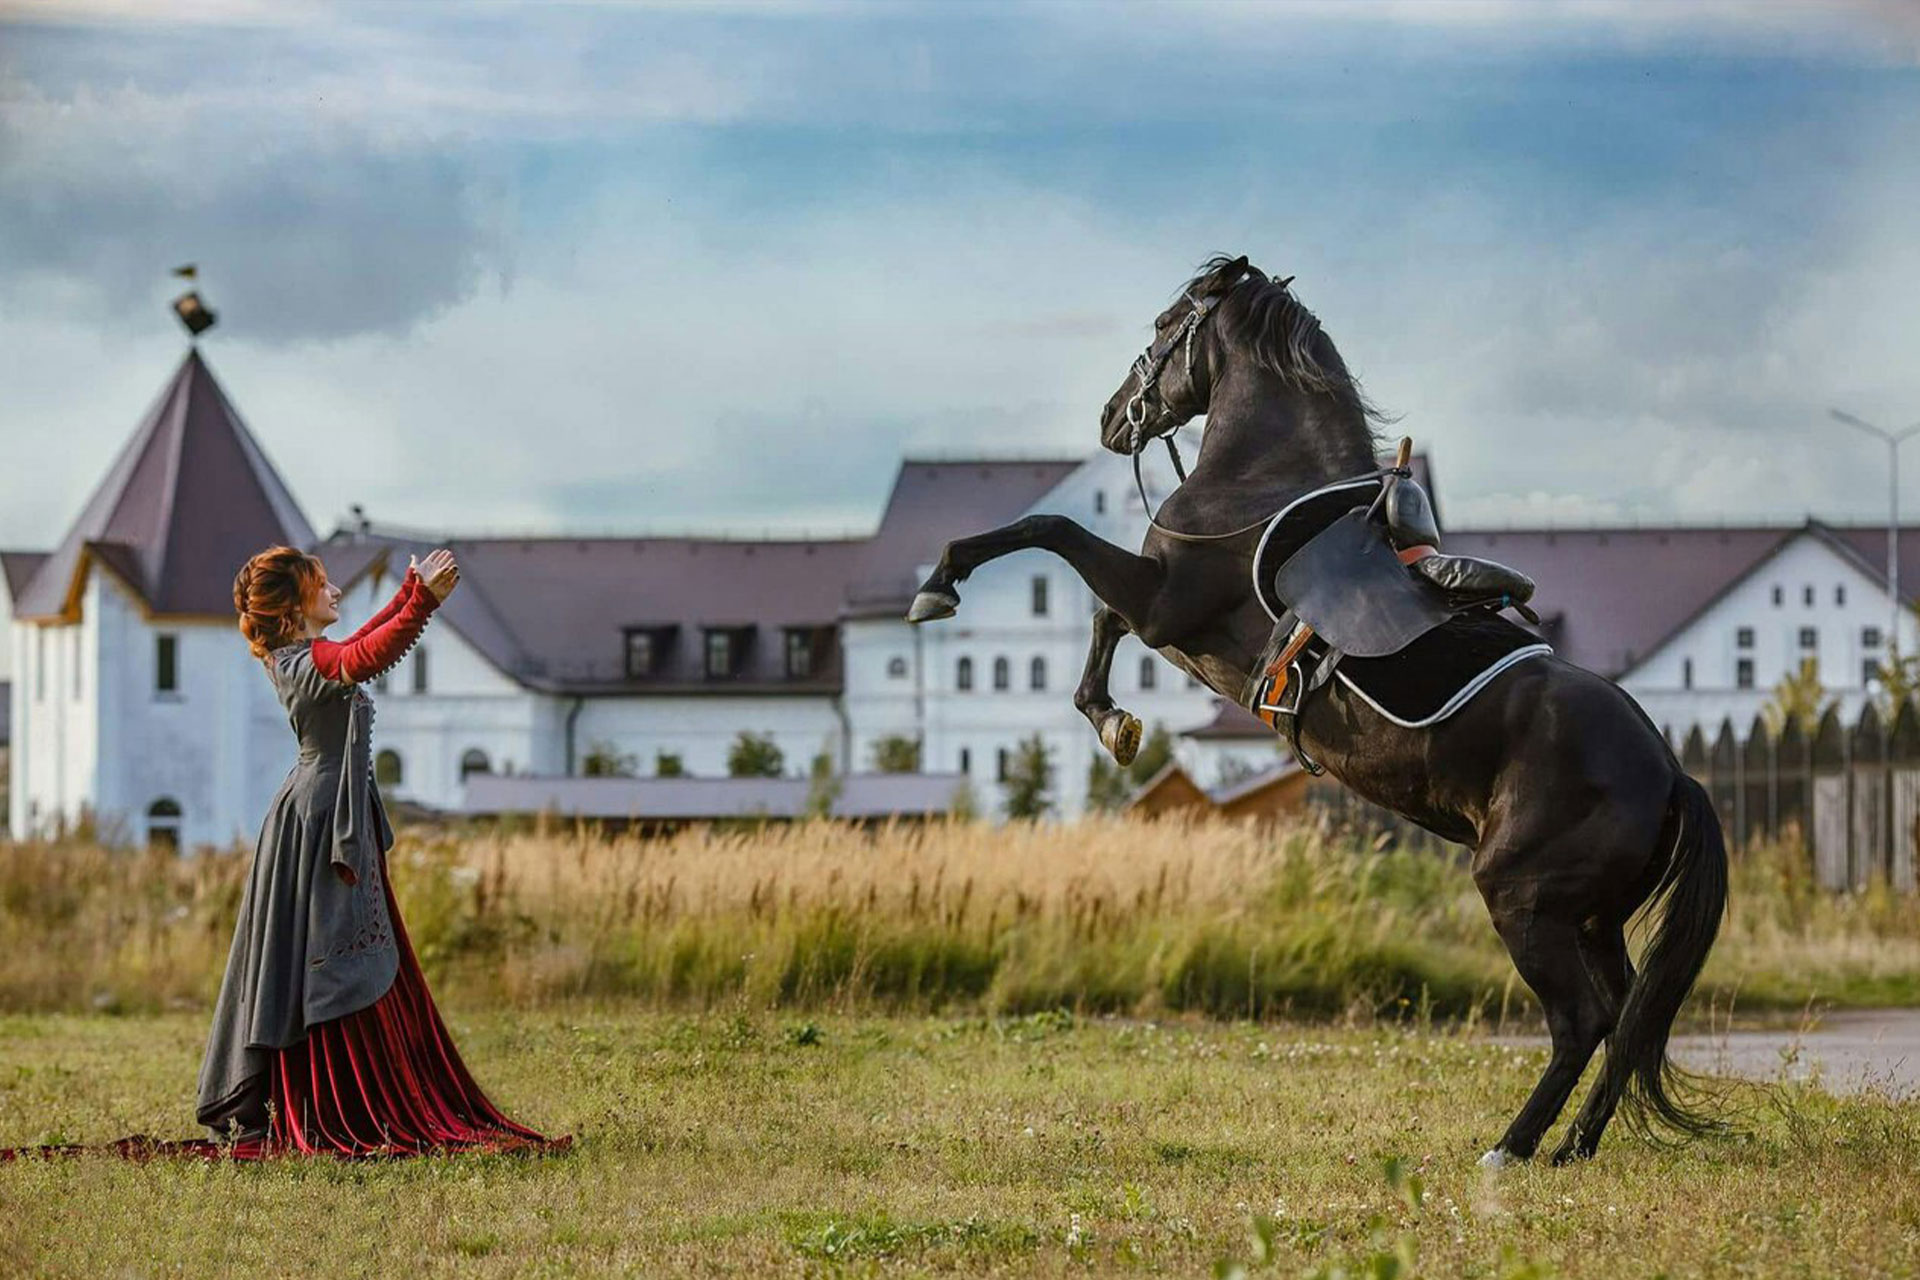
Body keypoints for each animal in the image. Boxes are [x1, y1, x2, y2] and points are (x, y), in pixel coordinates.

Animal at [906, 255, 1735, 1166]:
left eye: (1163, 326)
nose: (1111, 419)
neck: (1259, 484)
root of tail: (1669, 772)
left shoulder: (1163, 603)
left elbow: (1048, 529)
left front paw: (939, 585)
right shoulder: (1159, 613)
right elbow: (1096, 617)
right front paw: (1114, 722)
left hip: (1525, 898)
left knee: (1582, 1021)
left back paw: (1511, 1149)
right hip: (1590, 914)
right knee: (1628, 1015)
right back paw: (1572, 1149)